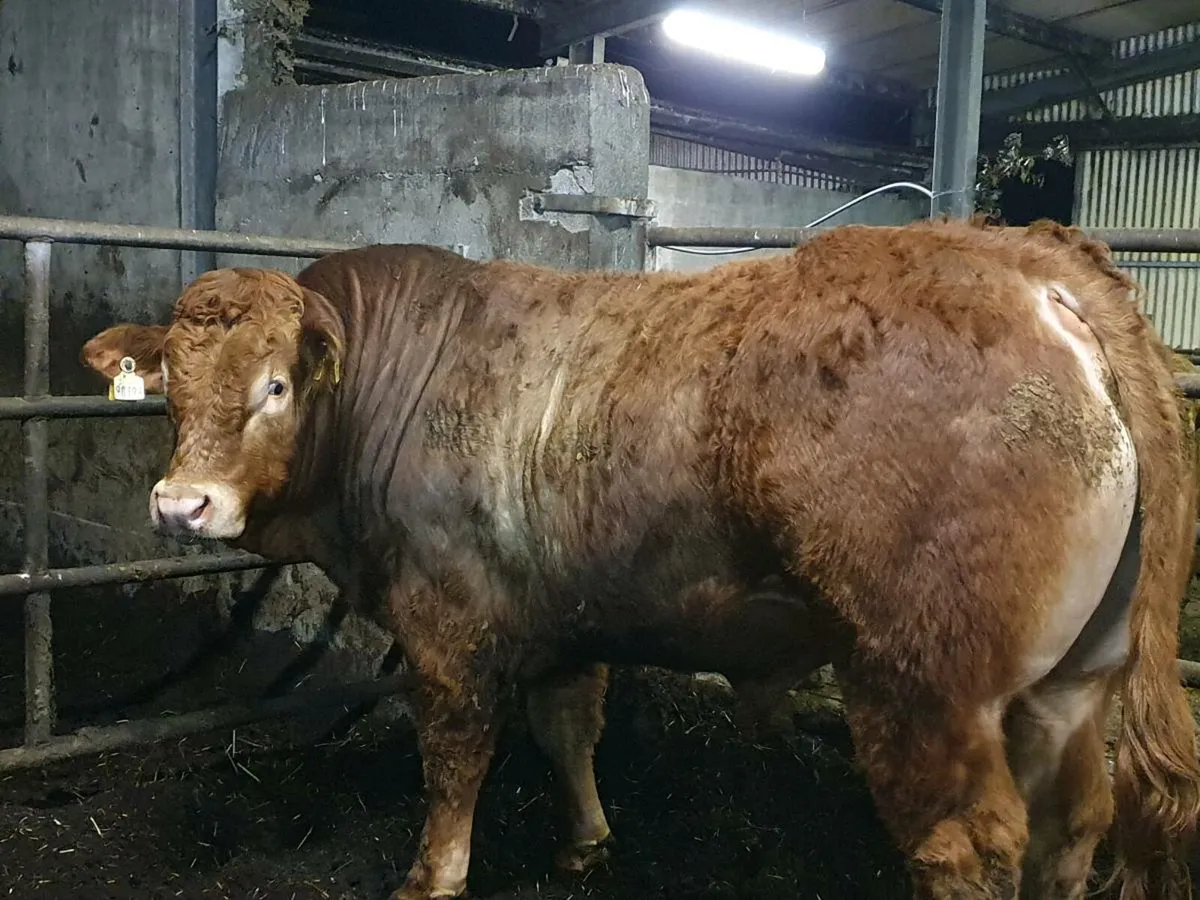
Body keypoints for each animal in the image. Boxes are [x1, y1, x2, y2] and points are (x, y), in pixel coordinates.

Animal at [80, 218, 1200, 900]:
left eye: (275, 386)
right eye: (171, 388)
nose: (182, 505)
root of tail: (1030, 260)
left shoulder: (446, 624)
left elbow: (455, 760)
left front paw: (432, 876)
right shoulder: (561, 610)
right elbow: (567, 726)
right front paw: (585, 840)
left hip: (926, 684)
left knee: (966, 845)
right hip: (1075, 679)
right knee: (1075, 821)